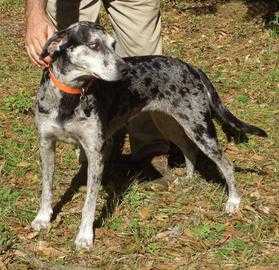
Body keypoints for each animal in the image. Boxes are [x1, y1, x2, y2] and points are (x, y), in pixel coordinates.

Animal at [31, 21, 268, 249]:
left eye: (113, 45)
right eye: (94, 45)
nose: (126, 69)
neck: (68, 98)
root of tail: (191, 67)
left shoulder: (95, 153)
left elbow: (89, 203)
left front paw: (84, 237)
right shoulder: (47, 144)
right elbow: (46, 189)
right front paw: (43, 218)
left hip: (200, 130)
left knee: (226, 164)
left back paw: (233, 201)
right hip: (171, 124)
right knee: (189, 149)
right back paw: (188, 179)